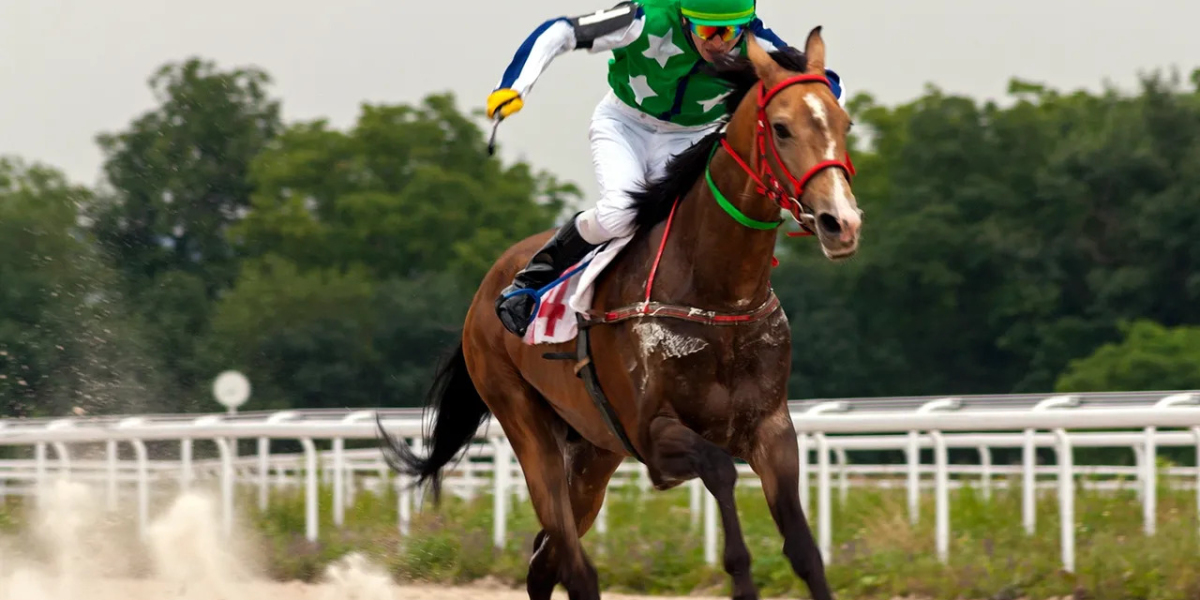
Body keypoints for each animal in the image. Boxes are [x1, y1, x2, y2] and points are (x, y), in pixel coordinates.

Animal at [378, 27, 862, 600]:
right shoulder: (654, 433)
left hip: (593, 453)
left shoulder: (772, 429)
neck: (719, 296)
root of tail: (487, 288)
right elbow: (721, 473)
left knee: (545, 560)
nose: (841, 222)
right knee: (571, 562)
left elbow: (805, 550)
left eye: (844, 123)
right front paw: (741, 575)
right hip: (525, 424)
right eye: (782, 128)